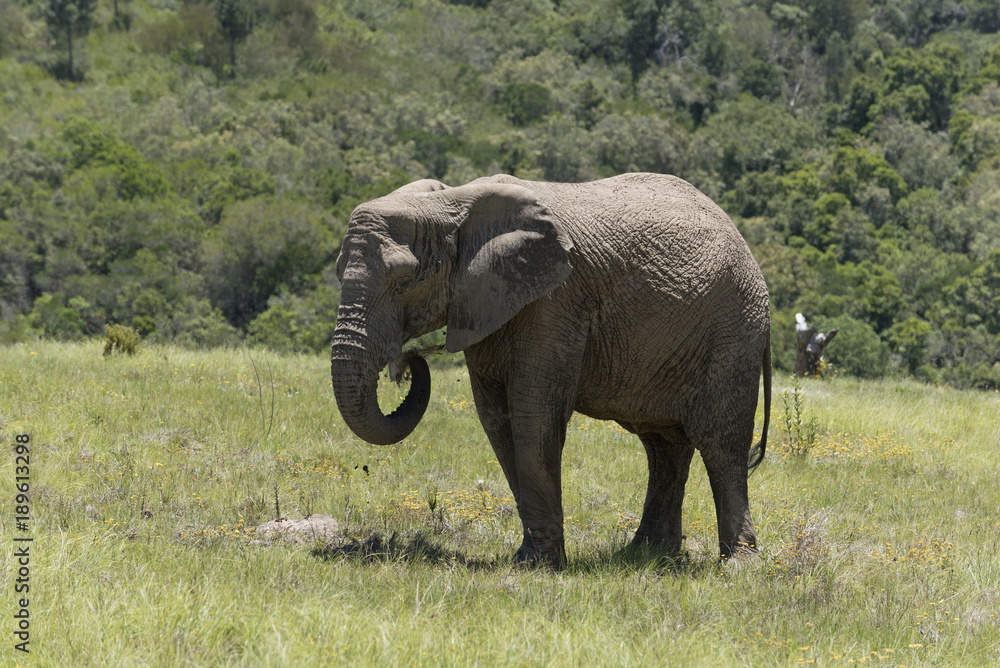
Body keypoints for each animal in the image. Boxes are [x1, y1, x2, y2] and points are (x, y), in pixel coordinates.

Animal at [331, 172, 772, 568]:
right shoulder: (485, 302)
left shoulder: (555, 301)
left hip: (733, 331)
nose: (409, 362)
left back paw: (737, 566)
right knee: (663, 446)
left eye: (405, 280)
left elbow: (534, 414)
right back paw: (645, 556)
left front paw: (538, 565)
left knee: (720, 442)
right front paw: (529, 558)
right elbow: (497, 422)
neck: (453, 204)